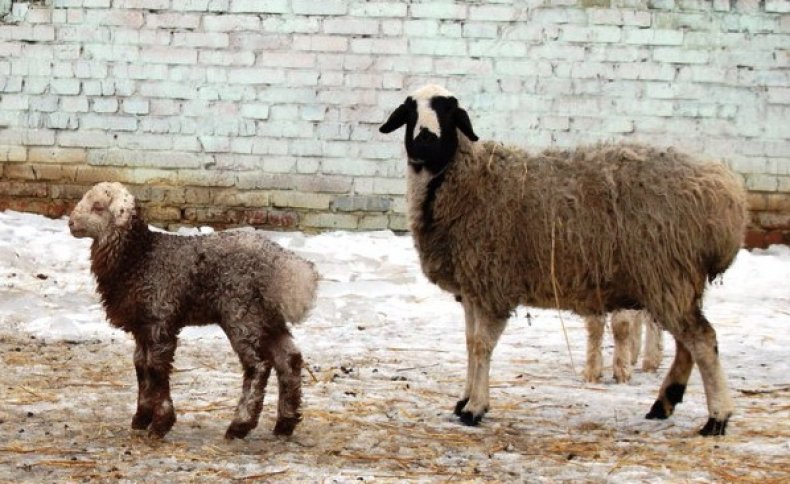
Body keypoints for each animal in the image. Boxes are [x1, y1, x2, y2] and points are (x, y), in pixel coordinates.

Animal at [65, 182, 318, 438]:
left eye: (98, 207)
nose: (71, 223)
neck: (139, 257)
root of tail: (282, 265)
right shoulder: (142, 326)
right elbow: (140, 366)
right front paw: (142, 417)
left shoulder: (160, 319)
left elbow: (156, 369)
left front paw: (161, 423)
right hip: (266, 315)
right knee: (289, 359)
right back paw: (285, 423)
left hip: (241, 312)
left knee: (258, 366)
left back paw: (240, 424)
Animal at [382, 83, 748, 434]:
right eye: (410, 110)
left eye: (449, 110)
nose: (425, 140)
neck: (463, 180)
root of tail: (726, 196)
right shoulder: (473, 286)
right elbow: (471, 343)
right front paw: (463, 400)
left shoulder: (492, 284)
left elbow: (482, 347)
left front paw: (475, 409)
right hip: (676, 281)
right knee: (689, 343)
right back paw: (665, 403)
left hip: (666, 274)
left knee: (703, 341)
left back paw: (717, 419)